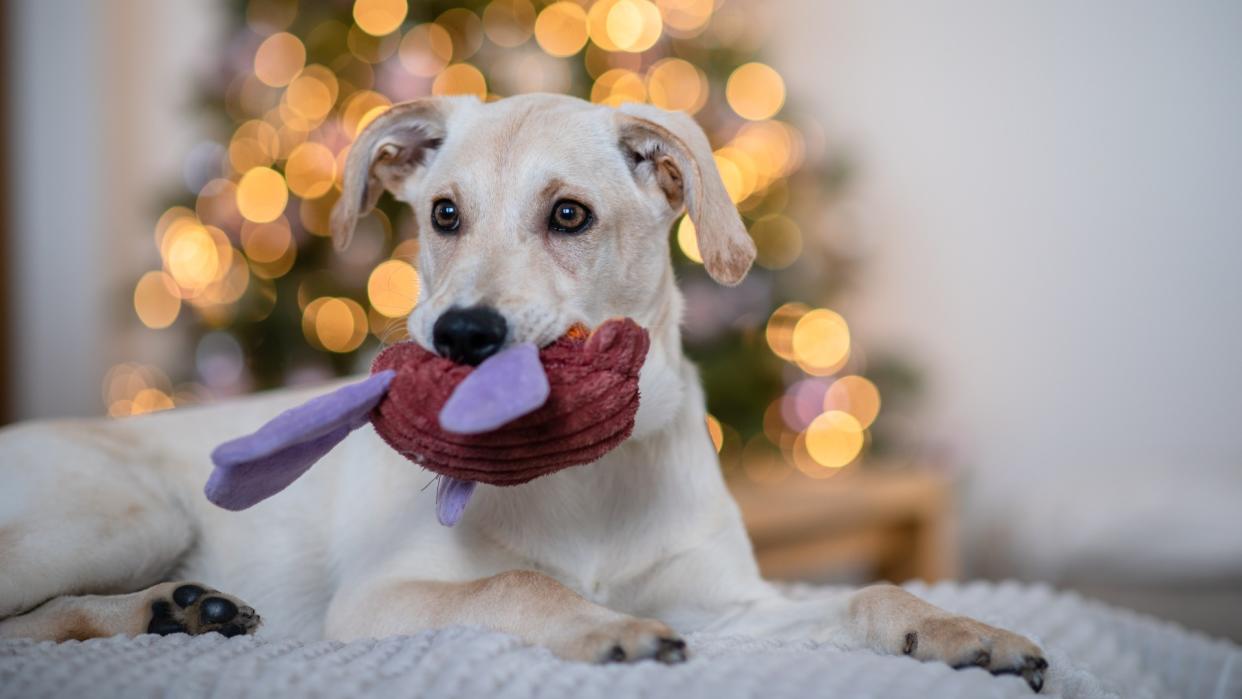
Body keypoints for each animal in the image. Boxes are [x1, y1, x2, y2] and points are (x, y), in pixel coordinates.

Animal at [0, 95, 1048, 690]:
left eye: (569, 215)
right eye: (443, 214)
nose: (463, 337)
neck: (584, 478)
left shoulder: (731, 604)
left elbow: (872, 589)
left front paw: (966, 632)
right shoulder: (376, 603)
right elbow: (516, 582)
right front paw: (607, 627)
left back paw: (177, 611)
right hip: (126, 513)